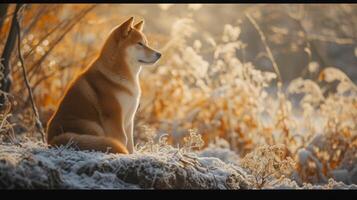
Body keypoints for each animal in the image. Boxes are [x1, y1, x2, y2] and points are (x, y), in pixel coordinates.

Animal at [46, 17, 161, 155]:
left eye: (146, 43)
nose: (159, 54)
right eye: (140, 44)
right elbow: (122, 140)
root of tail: (52, 140)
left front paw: (131, 155)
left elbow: (130, 144)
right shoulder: (114, 117)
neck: (119, 75)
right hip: (93, 126)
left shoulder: (129, 120)